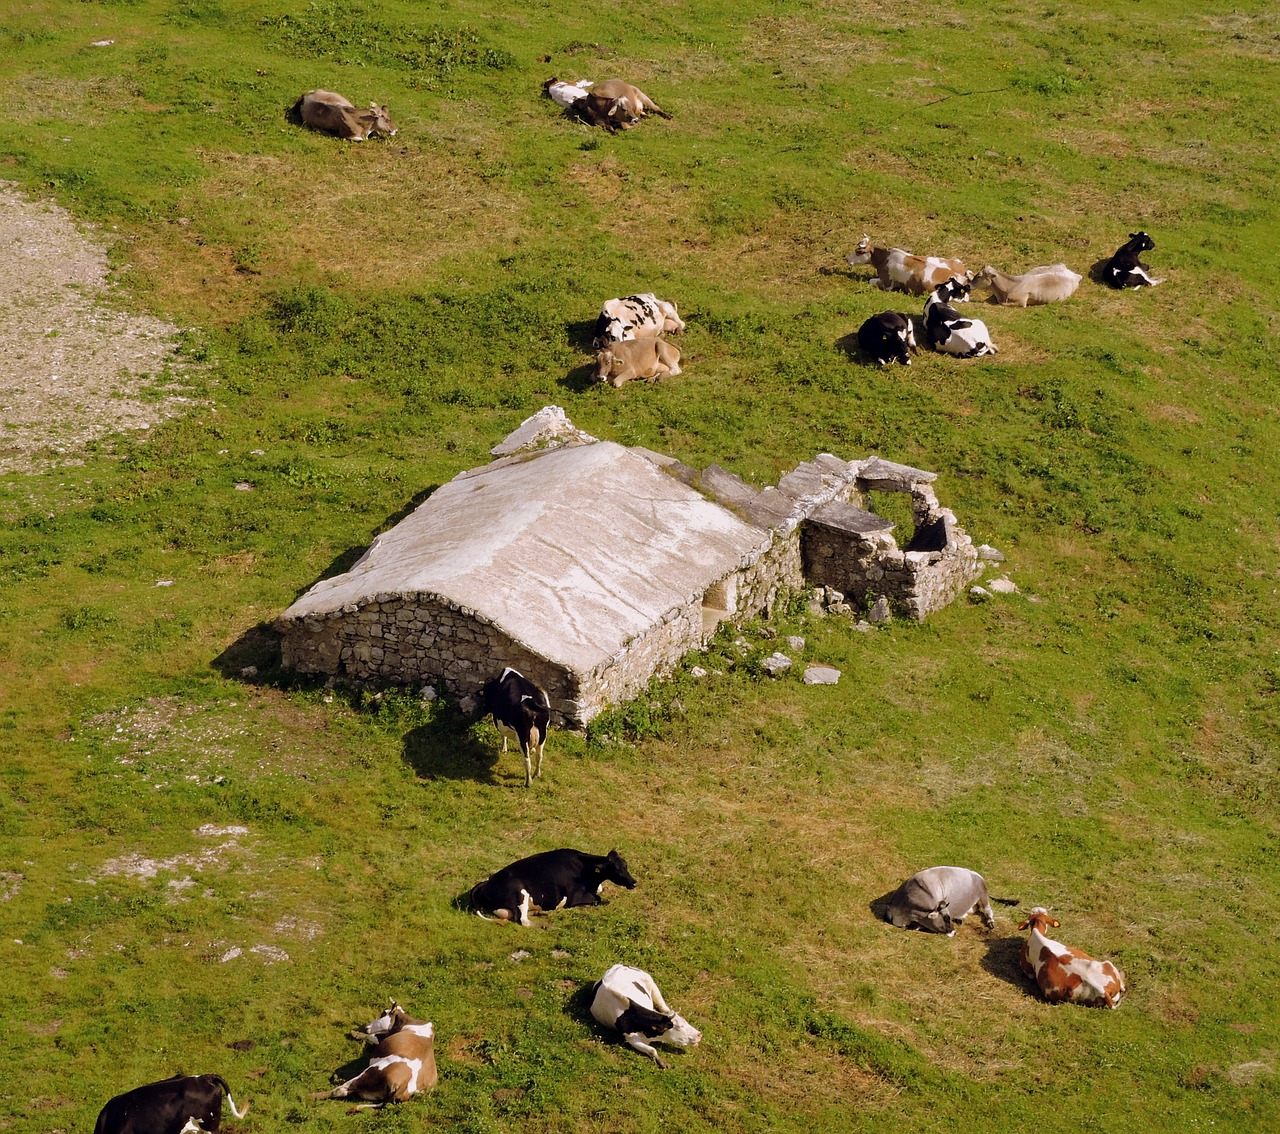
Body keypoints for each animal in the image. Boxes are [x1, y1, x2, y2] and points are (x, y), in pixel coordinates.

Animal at [468, 849, 637, 926]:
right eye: (616, 869)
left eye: (626, 865)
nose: (634, 882)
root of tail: (487, 881)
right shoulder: (575, 897)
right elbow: (598, 898)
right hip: (520, 892)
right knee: (523, 920)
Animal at [885, 865, 1013, 936]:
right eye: (946, 918)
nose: (954, 932)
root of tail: (974, 873)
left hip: (983, 893)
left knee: (988, 909)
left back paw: (990, 922)